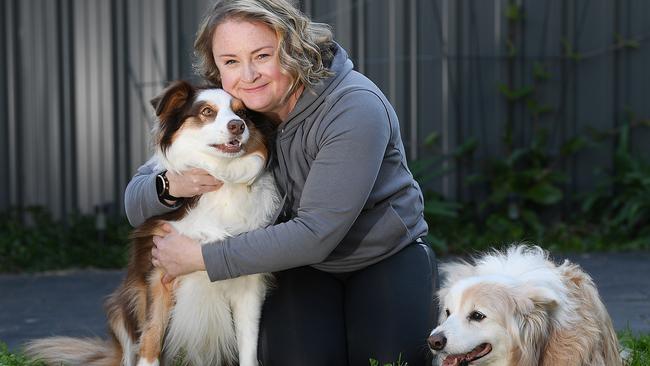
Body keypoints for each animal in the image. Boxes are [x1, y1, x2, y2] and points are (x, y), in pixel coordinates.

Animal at [26, 81, 278, 366]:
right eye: (206, 112)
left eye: (243, 113)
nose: (238, 125)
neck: (221, 178)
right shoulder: (158, 274)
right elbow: (152, 335)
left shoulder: (248, 284)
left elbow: (248, 344)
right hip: (120, 307)